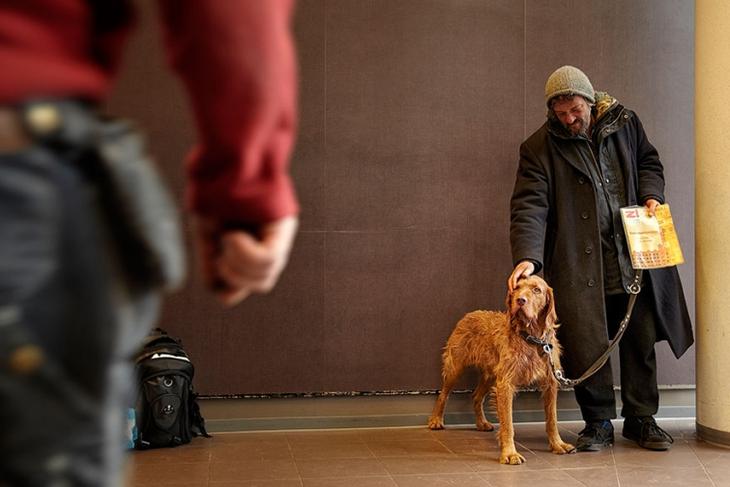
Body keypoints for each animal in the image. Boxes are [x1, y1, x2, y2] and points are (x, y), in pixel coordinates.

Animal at [426, 274, 576, 466]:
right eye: (517, 287)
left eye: (537, 290)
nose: (520, 300)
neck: (531, 338)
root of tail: (470, 314)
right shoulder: (505, 384)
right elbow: (508, 424)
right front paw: (510, 453)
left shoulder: (550, 383)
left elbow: (552, 419)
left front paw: (558, 444)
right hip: (455, 368)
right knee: (443, 394)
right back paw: (436, 420)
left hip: (491, 375)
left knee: (476, 396)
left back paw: (481, 423)